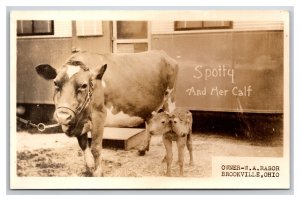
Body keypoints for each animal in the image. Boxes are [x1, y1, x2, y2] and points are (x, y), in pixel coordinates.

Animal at [35, 49, 178, 176]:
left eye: (84, 85)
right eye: (55, 83)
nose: (63, 116)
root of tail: (162, 53)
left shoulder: (99, 115)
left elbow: (96, 147)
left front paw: (98, 172)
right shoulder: (80, 120)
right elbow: (83, 145)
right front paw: (89, 169)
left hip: (170, 100)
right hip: (149, 106)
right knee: (149, 123)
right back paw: (143, 149)